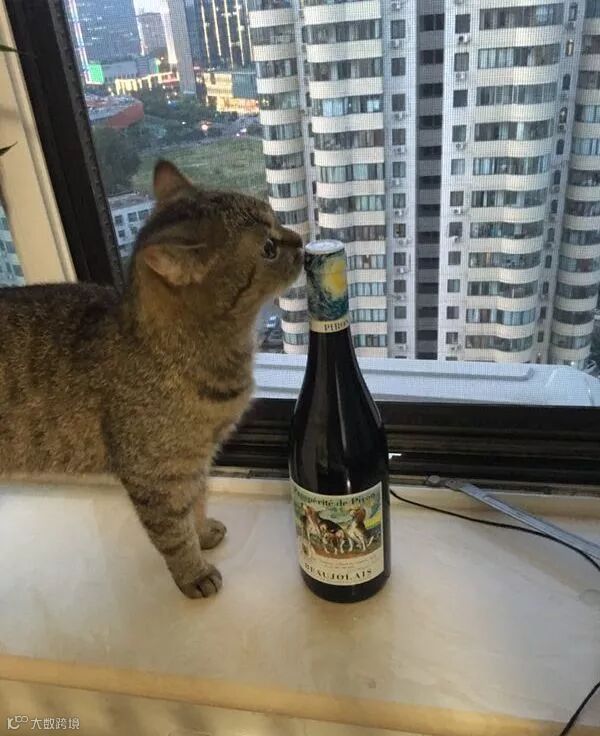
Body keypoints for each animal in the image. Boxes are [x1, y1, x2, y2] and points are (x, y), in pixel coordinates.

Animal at [0, 160, 303, 598]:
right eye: (268, 249)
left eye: (276, 218)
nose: (301, 241)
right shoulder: (154, 475)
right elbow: (174, 533)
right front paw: (193, 571)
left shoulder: (196, 460)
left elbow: (197, 501)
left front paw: (203, 531)